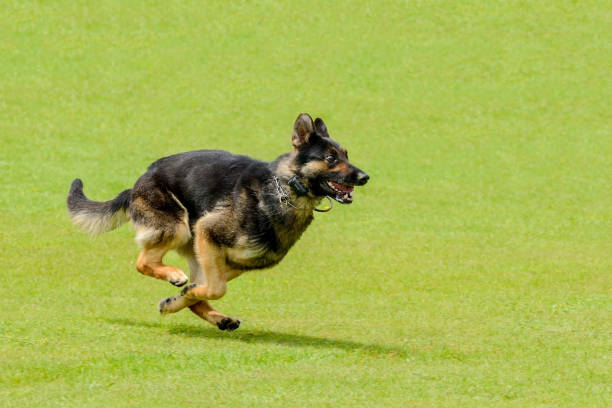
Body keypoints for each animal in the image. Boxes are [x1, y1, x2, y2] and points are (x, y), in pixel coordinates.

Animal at [69, 113, 370, 330]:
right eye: (331, 158)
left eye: (347, 155)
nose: (365, 177)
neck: (285, 189)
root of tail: (137, 182)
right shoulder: (208, 231)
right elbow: (215, 289)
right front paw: (185, 293)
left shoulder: (236, 262)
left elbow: (207, 290)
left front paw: (179, 300)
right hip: (179, 228)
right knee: (144, 262)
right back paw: (175, 277)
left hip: (198, 250)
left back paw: (210, 313)